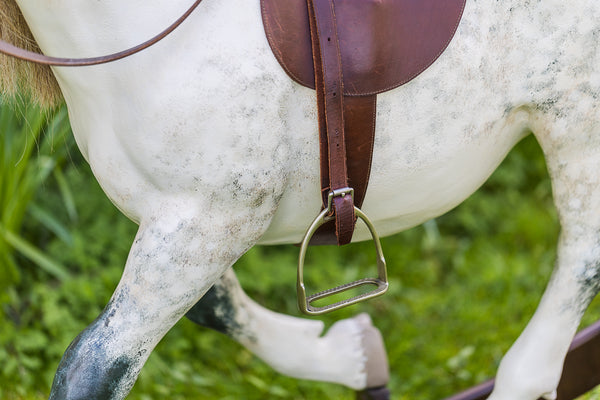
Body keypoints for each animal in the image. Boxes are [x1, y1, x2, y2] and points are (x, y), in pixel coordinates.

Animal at [1, 0, 600, 398]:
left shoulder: (207, 217)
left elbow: (94, 366)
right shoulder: (178, 218)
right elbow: (215, 308)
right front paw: (347, 356)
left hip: (574, 116)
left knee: (582, 254)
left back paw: (525, 380)